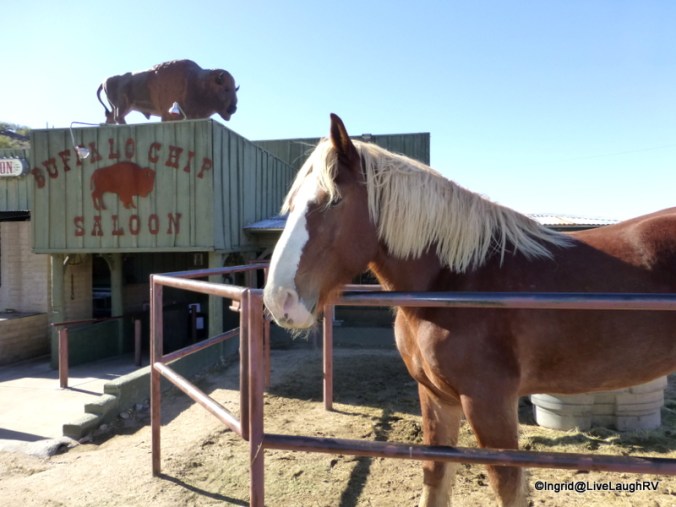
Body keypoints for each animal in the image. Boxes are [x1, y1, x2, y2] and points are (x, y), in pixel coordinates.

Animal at [96, 59, 238, 124]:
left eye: (235, 90)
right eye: (226, 89)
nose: (233, 108)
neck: (196, 81)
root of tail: (104, 81)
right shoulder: (168, 114)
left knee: (110, 117)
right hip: (122, 106)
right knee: (117, 117)